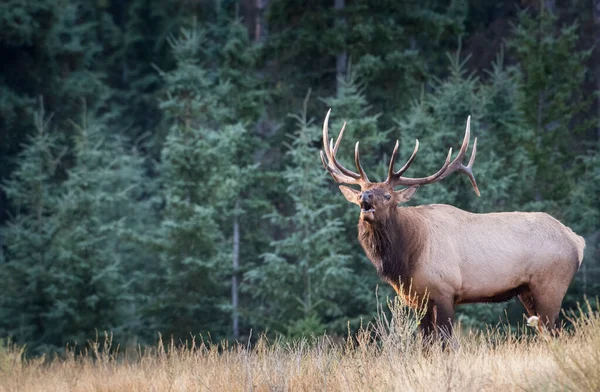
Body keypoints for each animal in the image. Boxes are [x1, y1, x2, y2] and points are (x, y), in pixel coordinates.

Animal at [322, 108, 584, 338]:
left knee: (557, 332)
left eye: (388, 196)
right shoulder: (419, 300)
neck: (408, 256)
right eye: (361, 191)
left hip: (551, 285)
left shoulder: (445, 291)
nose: (365, 198)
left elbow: (445, 342)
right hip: (527, 291)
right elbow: (426, 343)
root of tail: (577, 241)